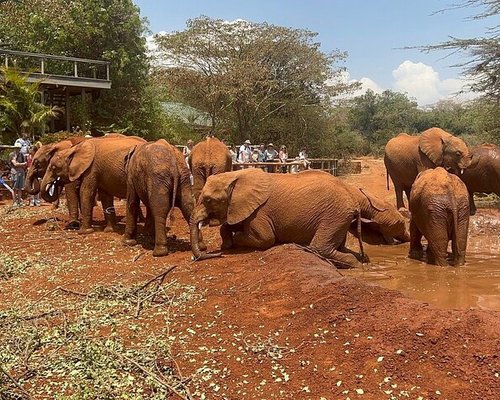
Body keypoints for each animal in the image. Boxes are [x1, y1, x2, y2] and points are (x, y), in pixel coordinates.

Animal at [189, 169, 370, 268]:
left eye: (208, 200)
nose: (215, 253)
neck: (236, 175)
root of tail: (354, 200)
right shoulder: (242, 208)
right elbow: (231, 225)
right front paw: (226, 244)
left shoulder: (260, 212)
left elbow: (265, 239)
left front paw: (233, 241)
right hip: (340, 217)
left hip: (334, 214)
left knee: (320, 248)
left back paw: (355, 264)